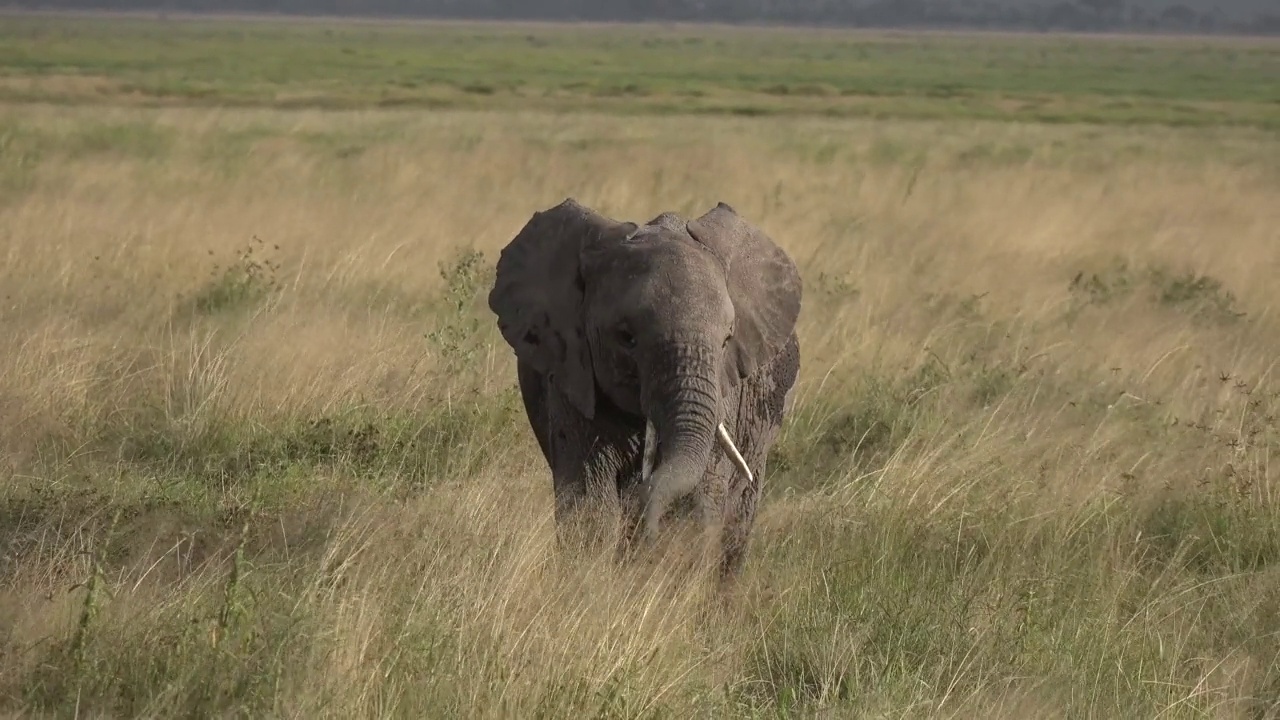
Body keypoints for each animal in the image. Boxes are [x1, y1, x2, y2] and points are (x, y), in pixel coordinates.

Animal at [486, 198, 798, 579]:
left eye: (727, 339)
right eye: (626, 338)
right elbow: (590, 502)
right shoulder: (572, 374)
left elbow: (703, 498)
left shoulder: (725, 394)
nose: (648, 532)